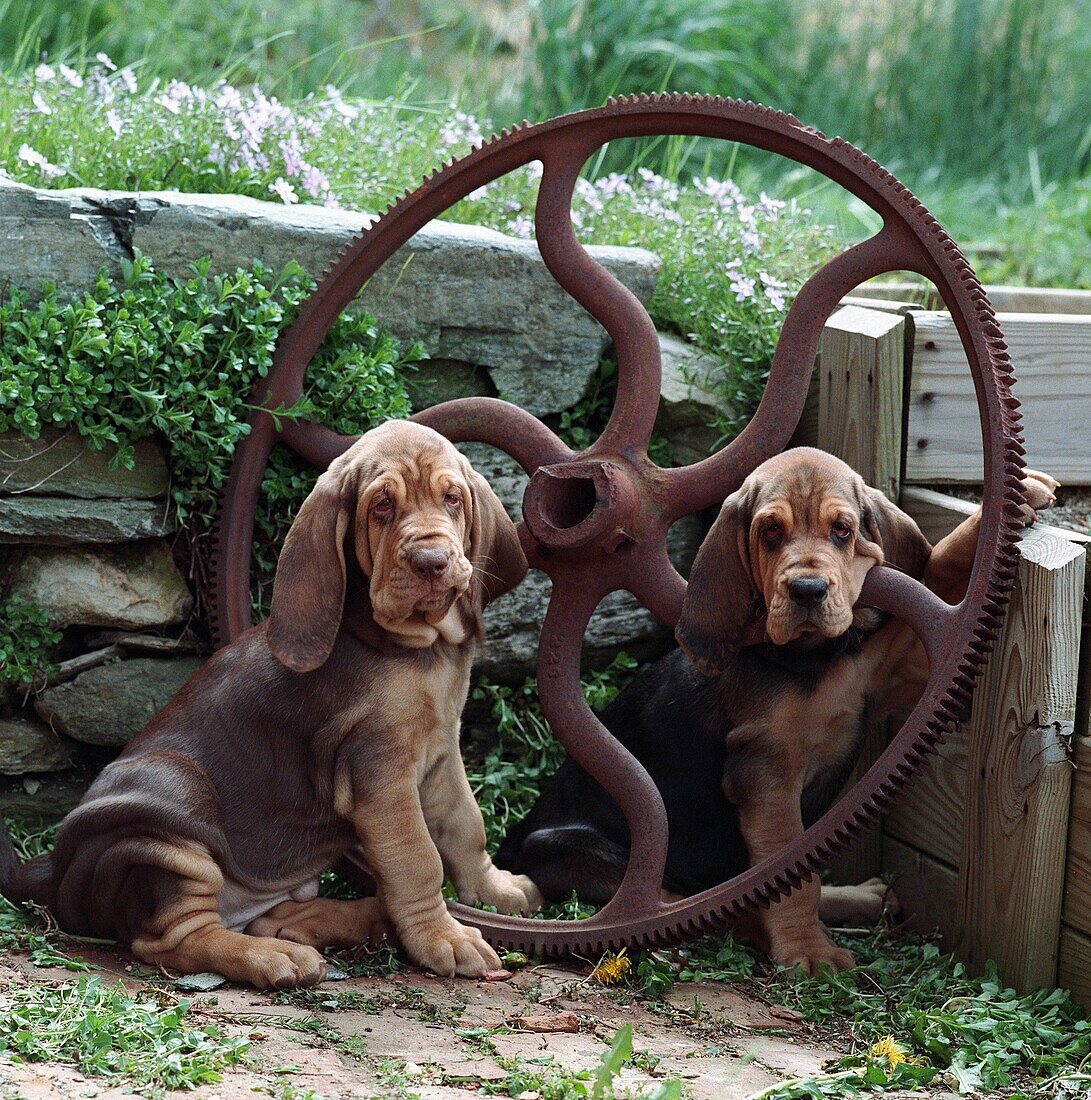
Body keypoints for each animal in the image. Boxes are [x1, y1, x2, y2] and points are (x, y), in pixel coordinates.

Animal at [0, 420, 543, 990]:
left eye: (452, 499)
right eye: (382, 507)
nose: (433, 562)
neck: (416, 647)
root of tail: (52, 872)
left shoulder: (441, 753)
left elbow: (464, 826)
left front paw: (495, 890)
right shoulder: (381, 776)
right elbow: (418, 860)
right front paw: (445, 938)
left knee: (269, 917)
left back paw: (338, 921)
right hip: (168, 821)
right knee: (175, 939)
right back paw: (277, 956)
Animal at [499, 446, 1060, 972]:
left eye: (842, 530)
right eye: (770, 532)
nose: (808, 590)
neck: (811, 660)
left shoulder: (899, 666)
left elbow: (938, 569)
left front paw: (1016, 498)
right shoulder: (766, 776)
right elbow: (788, 874)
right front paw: (807, 952)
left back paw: (858, 897)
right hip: (570, 848)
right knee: (692, 900)